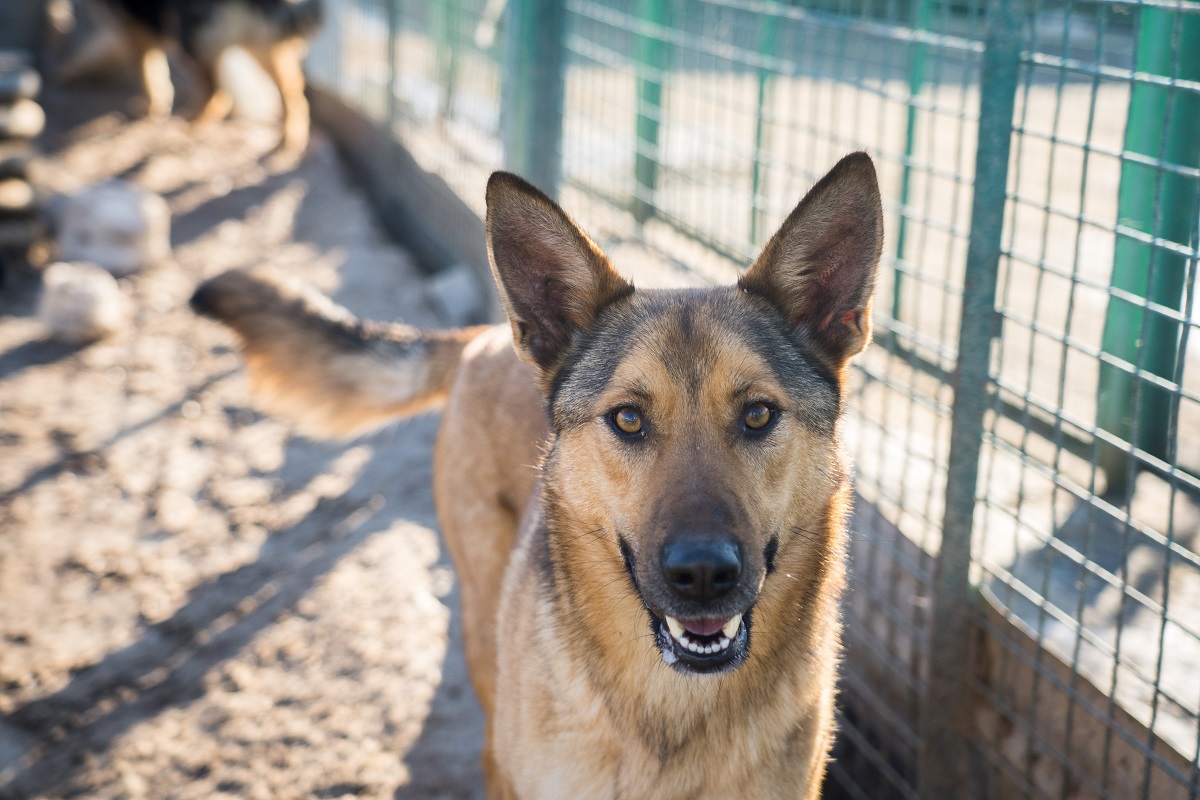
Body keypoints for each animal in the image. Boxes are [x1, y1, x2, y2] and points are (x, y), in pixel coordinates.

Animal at [187, 153, 883, 796]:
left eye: (759, 414)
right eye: (628, 419)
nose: (704, 575)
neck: (670, 713)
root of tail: (487, 334)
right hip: (483, 625)